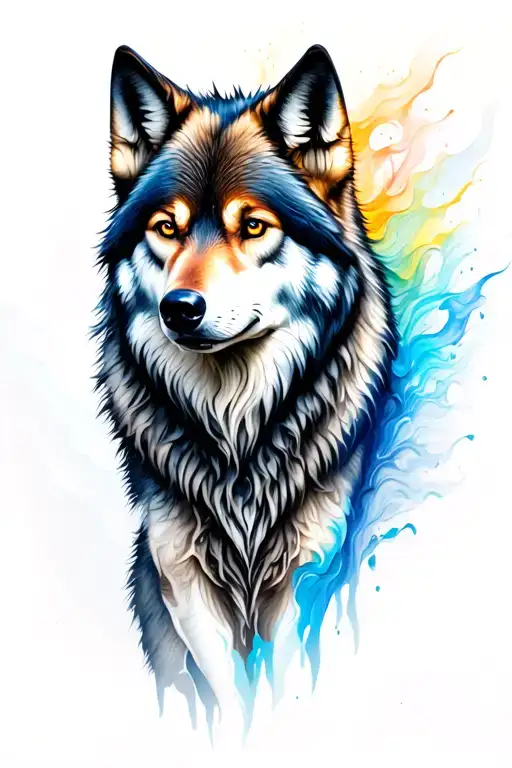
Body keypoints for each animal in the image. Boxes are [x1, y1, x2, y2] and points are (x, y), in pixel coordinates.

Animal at [94, 43, 397, 729]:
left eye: (253, 227)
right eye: (167, 228)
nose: (180, 308)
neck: (237, 430)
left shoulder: (311, 565)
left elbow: (284, 686)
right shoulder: (181, 573)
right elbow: (231, 698)